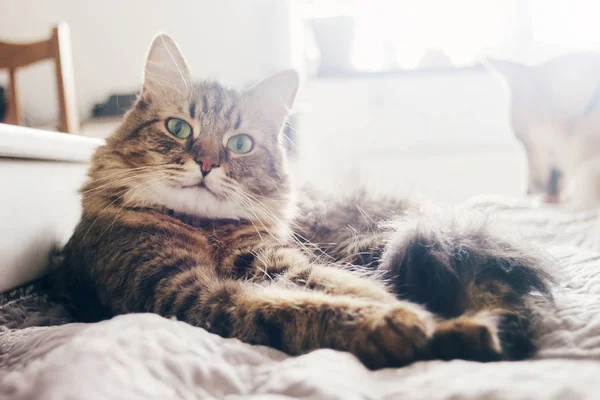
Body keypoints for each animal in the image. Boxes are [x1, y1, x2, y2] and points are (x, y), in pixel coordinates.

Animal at [51, 34, 552, 368]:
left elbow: (348, 288)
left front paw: (422, 321)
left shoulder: (278, 261)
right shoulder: (179, 291)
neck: (203, 227)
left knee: (494, 284)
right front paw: (393, 324)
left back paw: (490, 328)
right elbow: (290, 307)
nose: (207, 163)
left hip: (384, 244)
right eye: (179, 129)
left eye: (240, 144)